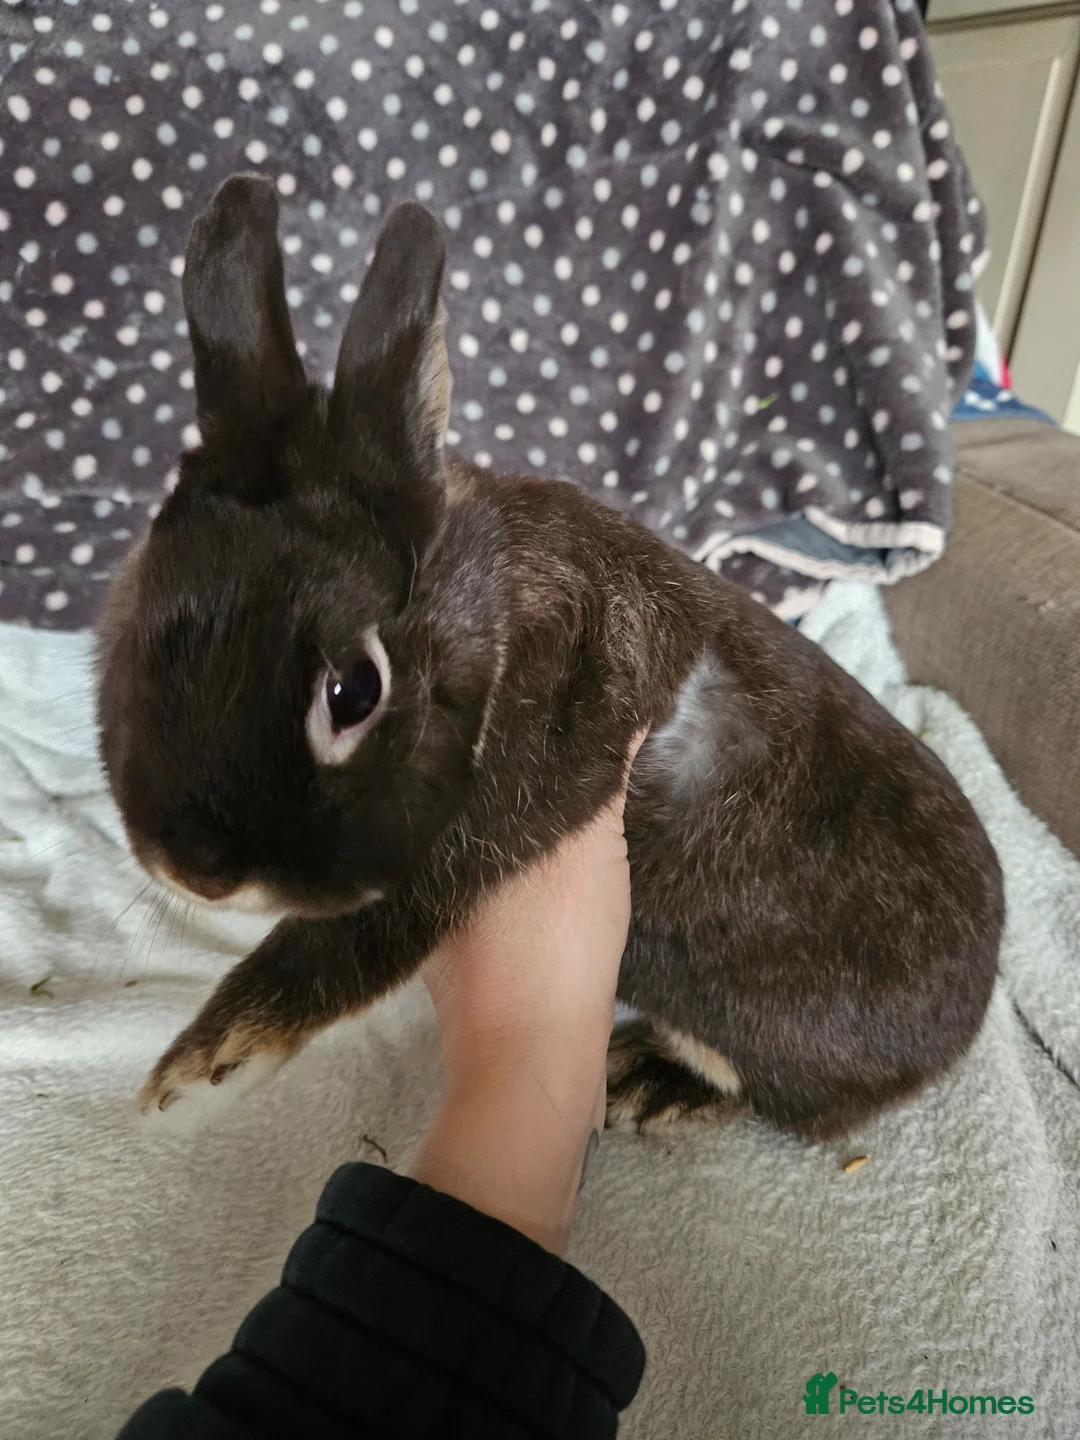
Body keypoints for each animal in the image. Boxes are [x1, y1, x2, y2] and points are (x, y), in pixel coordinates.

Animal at [96, 173, 1003, 1140]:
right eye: (131, 632)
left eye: (355, 692)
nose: (196, 868)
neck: (495, 611)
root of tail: (970, 1014)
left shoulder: (491, 811)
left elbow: (357, 936)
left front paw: (205, 1069)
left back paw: (647, 1080)